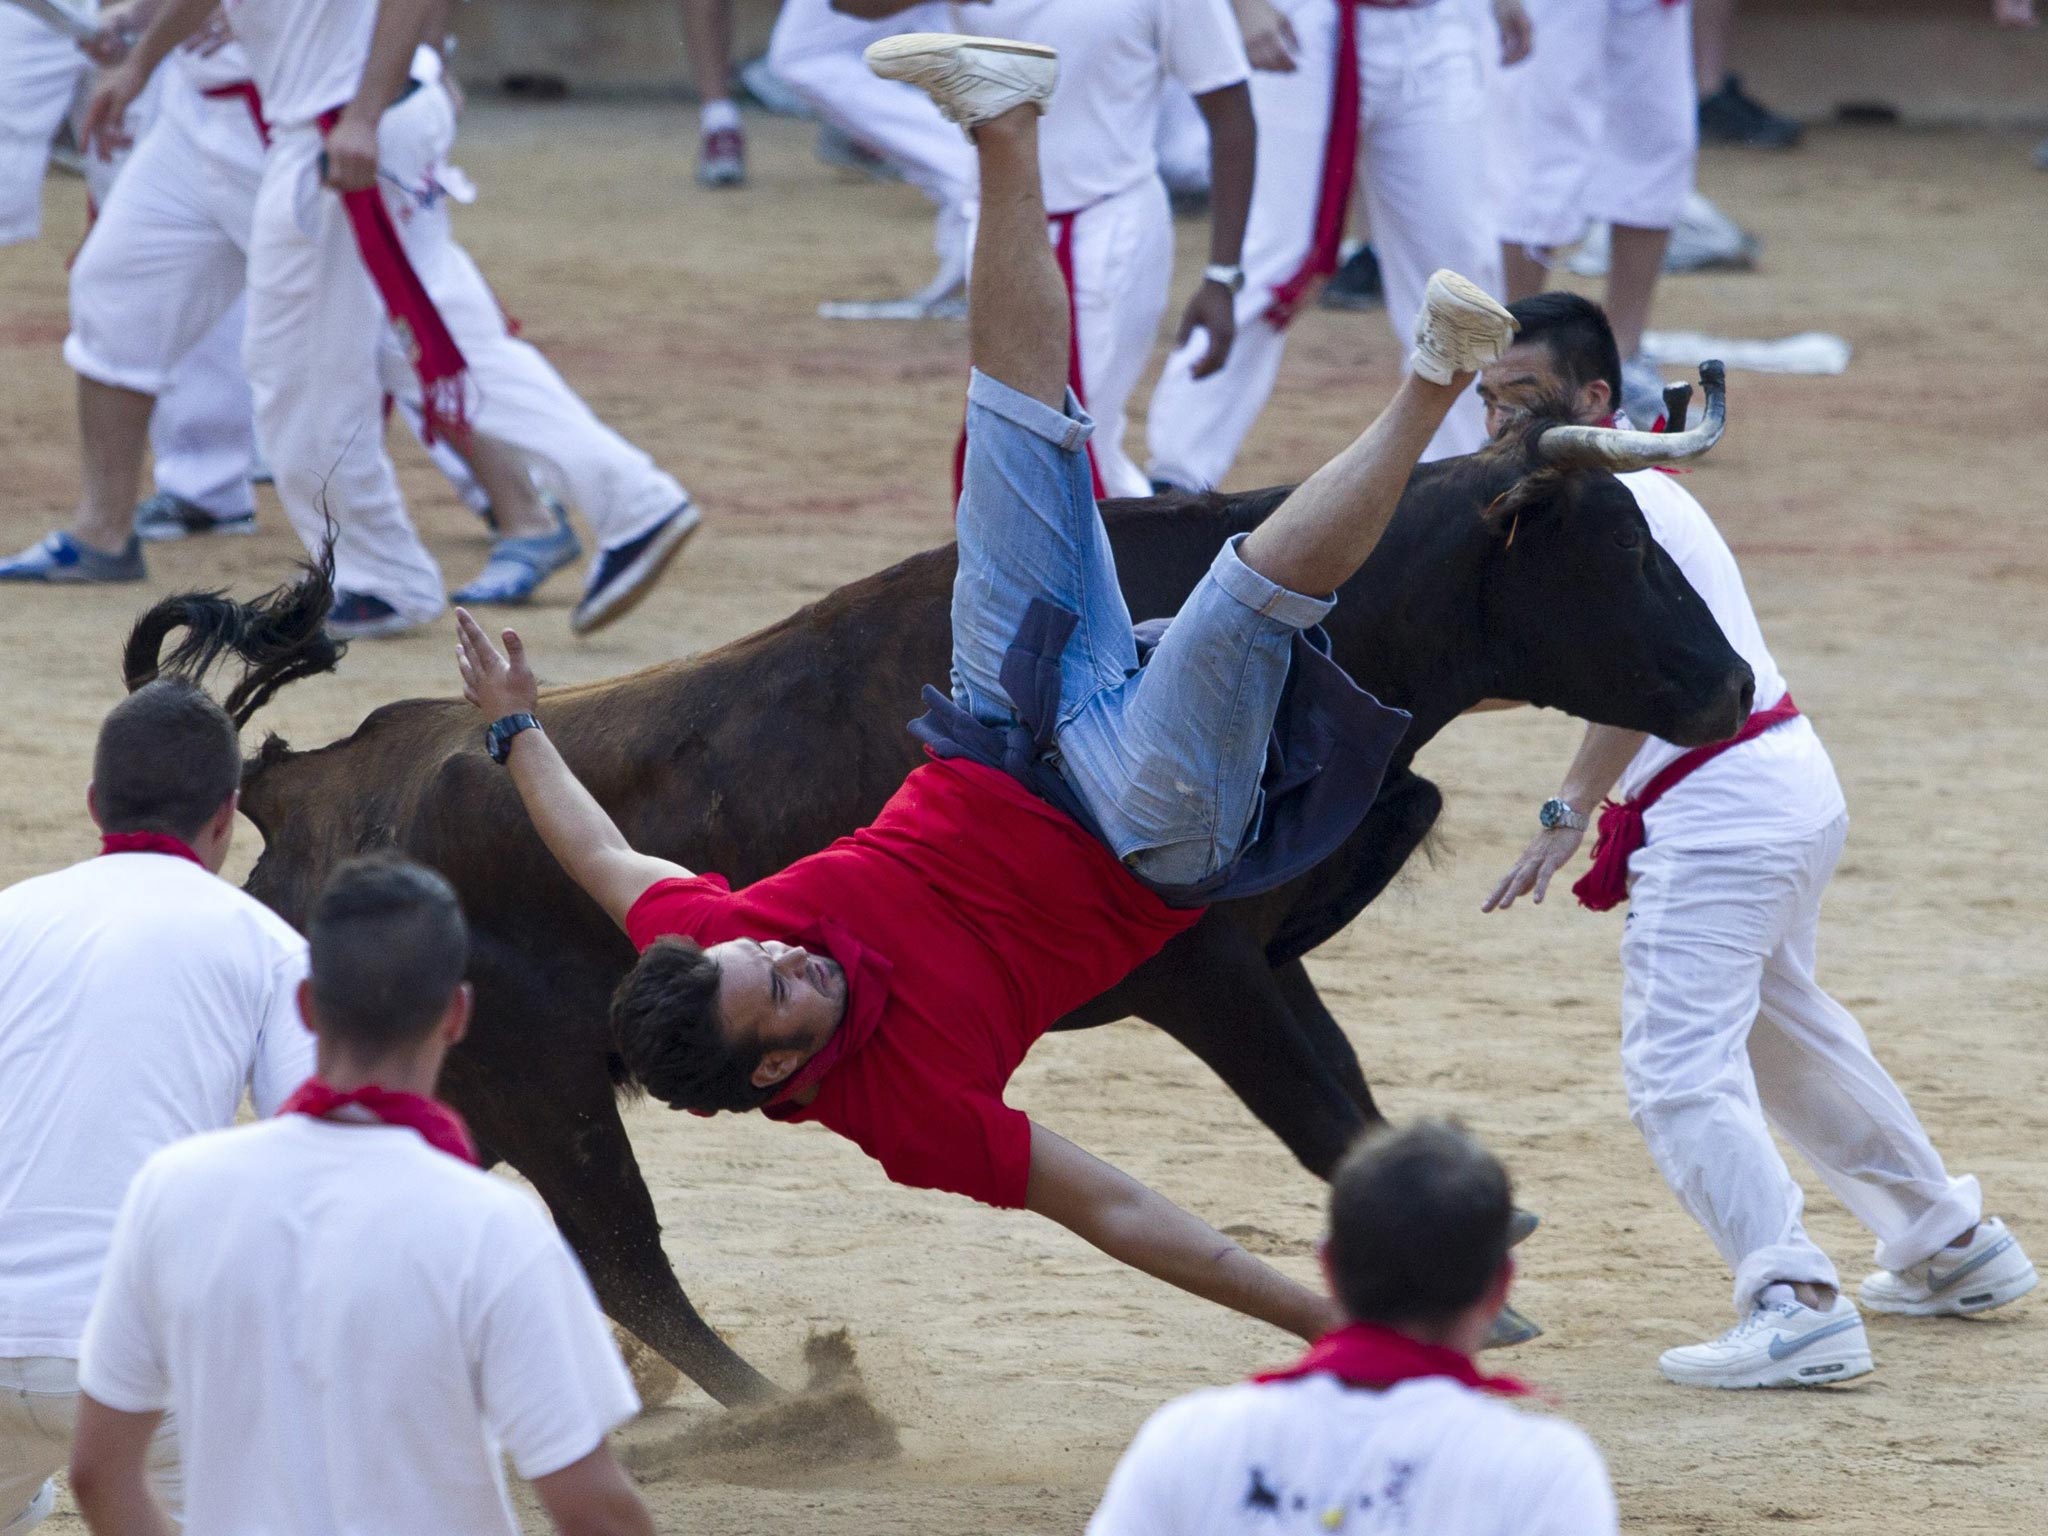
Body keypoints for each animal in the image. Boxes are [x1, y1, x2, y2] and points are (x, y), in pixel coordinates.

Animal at [123, 397, 1744, 1409]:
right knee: (628, 1262)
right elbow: (1325, 1109)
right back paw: (782, 1414)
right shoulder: (1211, 977)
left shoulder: (1268, 946)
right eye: (1619, 550)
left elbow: (1344, 1089)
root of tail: (305, 784)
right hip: (548, 1091)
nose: (1730, 686)